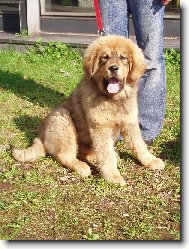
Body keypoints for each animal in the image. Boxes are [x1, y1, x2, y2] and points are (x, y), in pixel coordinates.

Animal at [12, 36, 165, 186]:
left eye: (123, 57)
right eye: (104, 57)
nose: (113, 68)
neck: (113, 99)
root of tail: (41, 138)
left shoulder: (130, 123)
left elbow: (139, 145)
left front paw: (150, 160)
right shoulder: (100, 128)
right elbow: (106, 154)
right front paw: (113, 176)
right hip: (63, 119)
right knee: (65, 155)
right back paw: (81, 166)